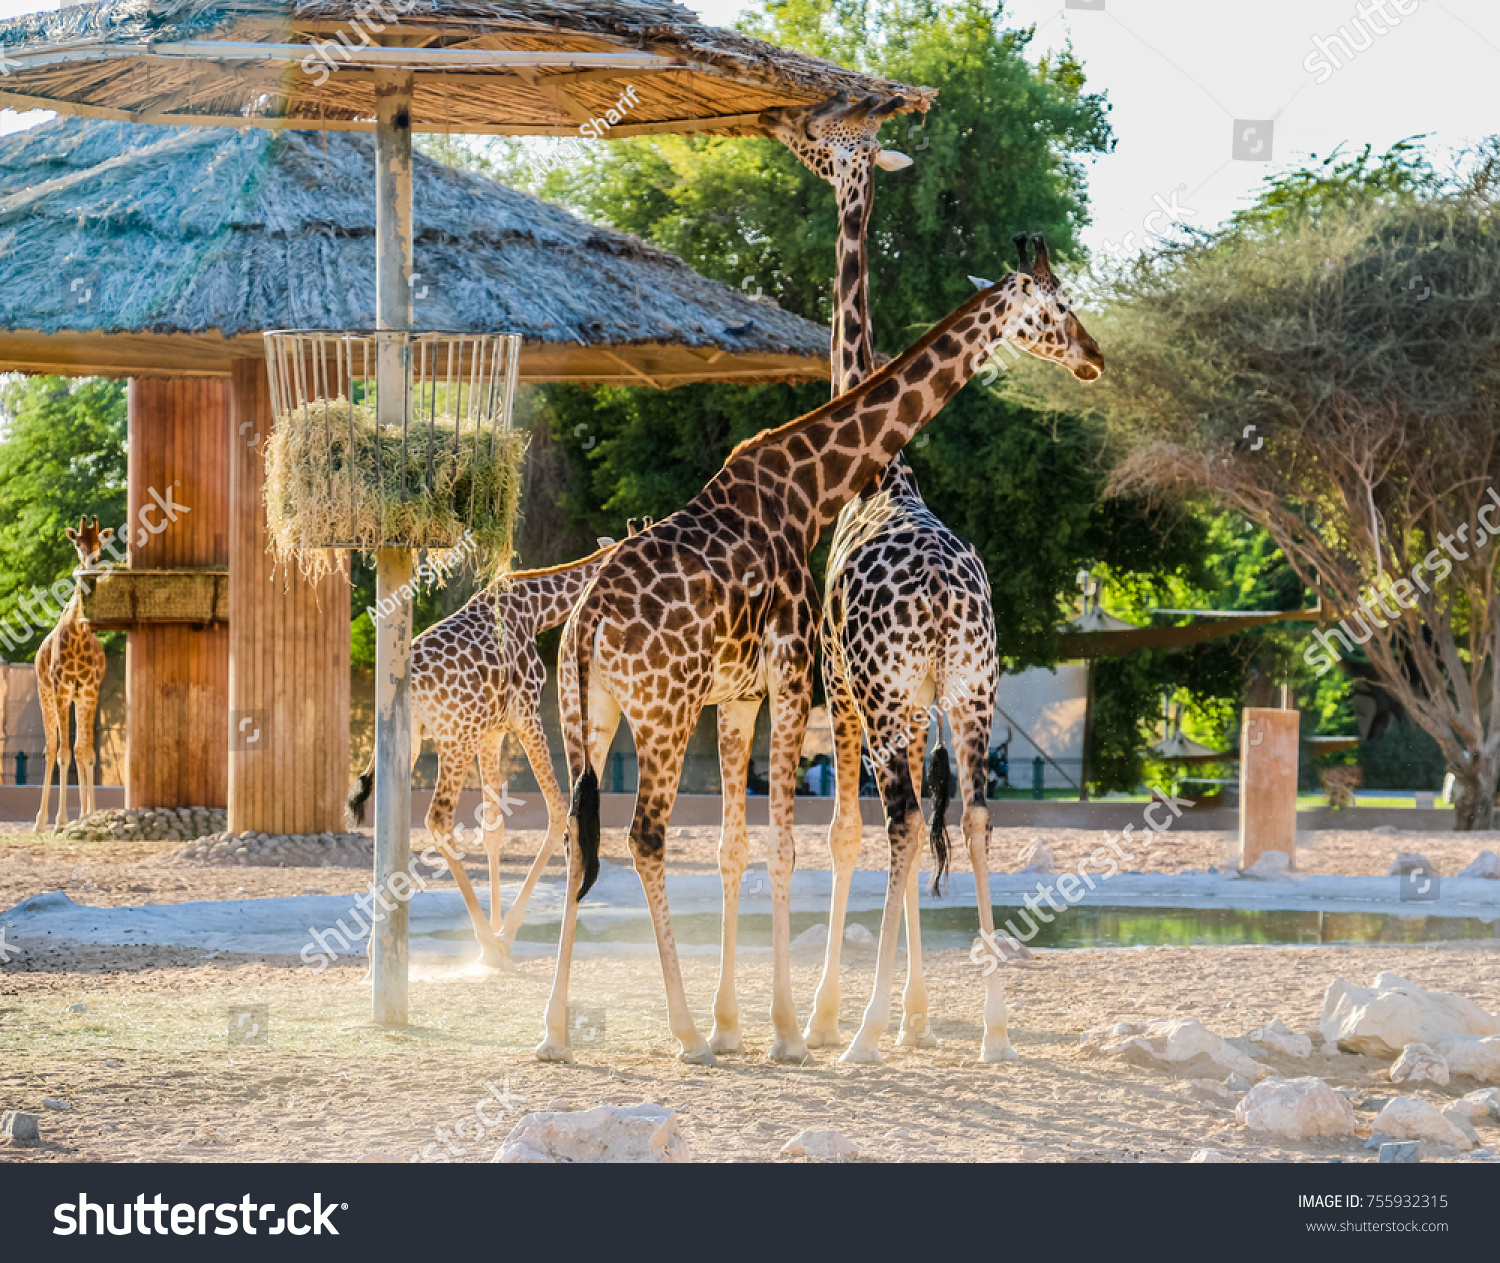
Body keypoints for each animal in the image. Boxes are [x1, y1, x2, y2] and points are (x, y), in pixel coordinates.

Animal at [345, 522, 645, 966]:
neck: (536, 610)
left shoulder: (492, 731)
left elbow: (494, 826)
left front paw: (500, 933)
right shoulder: (526, 715)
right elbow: (557, 809)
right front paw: (504, 937)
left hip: (414, 743)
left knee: (391, 818)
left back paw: (374, 951)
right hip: (454, 740)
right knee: (437, 819)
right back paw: (485, 939)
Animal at [537, 241, 1104, 1056]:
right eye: (1057, 309)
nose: (1094, 356)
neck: (811, 489)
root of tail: (584, 624)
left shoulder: (742, 691)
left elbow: (742, 845)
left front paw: (749, 1023)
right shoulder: (795, 668)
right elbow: (789, 841)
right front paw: (784, 1030)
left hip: (592, 712)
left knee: (578, 839)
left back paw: (555, 1031)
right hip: (670, 710)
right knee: (648, 835)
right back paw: (694, 1033)